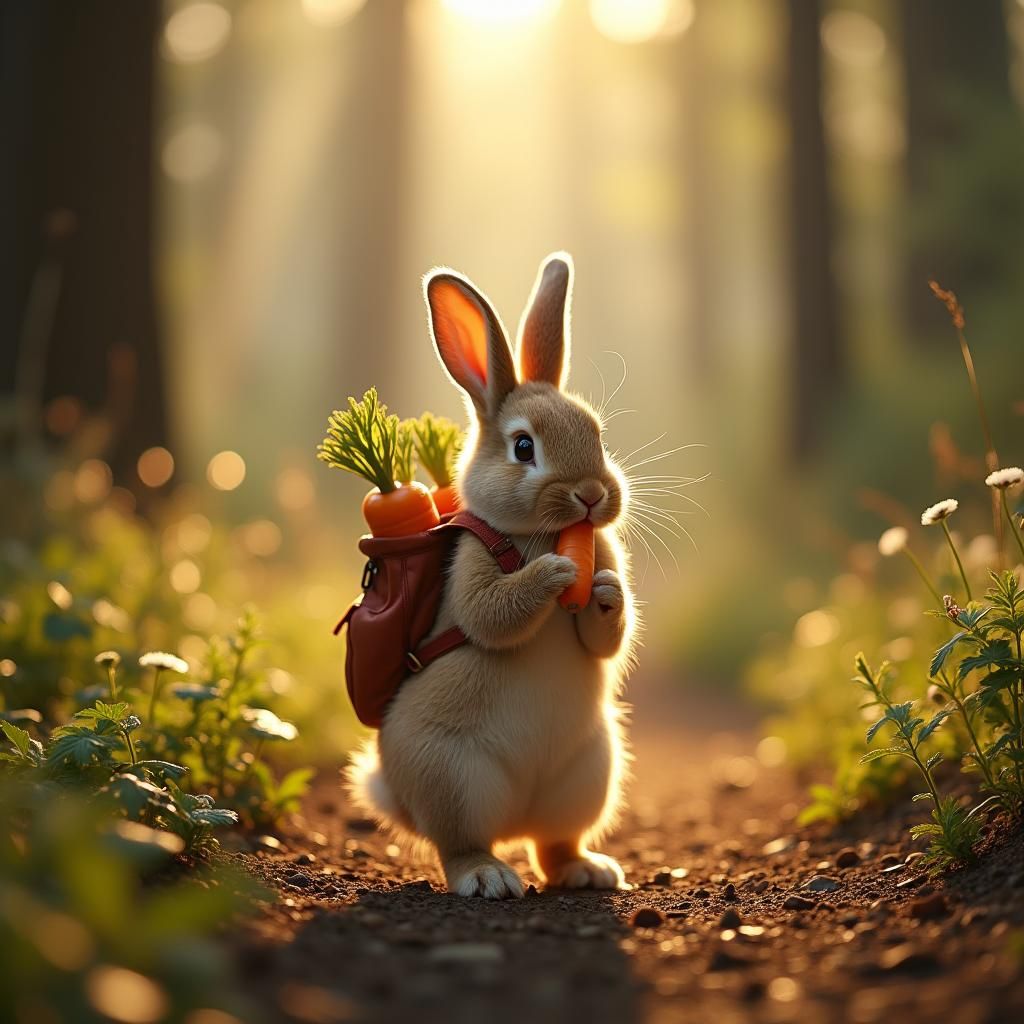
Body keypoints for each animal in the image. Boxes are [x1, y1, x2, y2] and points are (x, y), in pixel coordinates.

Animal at [347, 251, 639, 898]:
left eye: (598, 435)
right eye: (524, 447)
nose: (590, 495)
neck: (541, 532)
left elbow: (604, 640)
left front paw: (606, 592)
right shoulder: (474, 568)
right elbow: (491, 615)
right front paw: (557, 572)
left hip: (589, 775)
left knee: (553, 844)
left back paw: (588, 871)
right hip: (452, 777)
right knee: (460, 844)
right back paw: (489, 878)